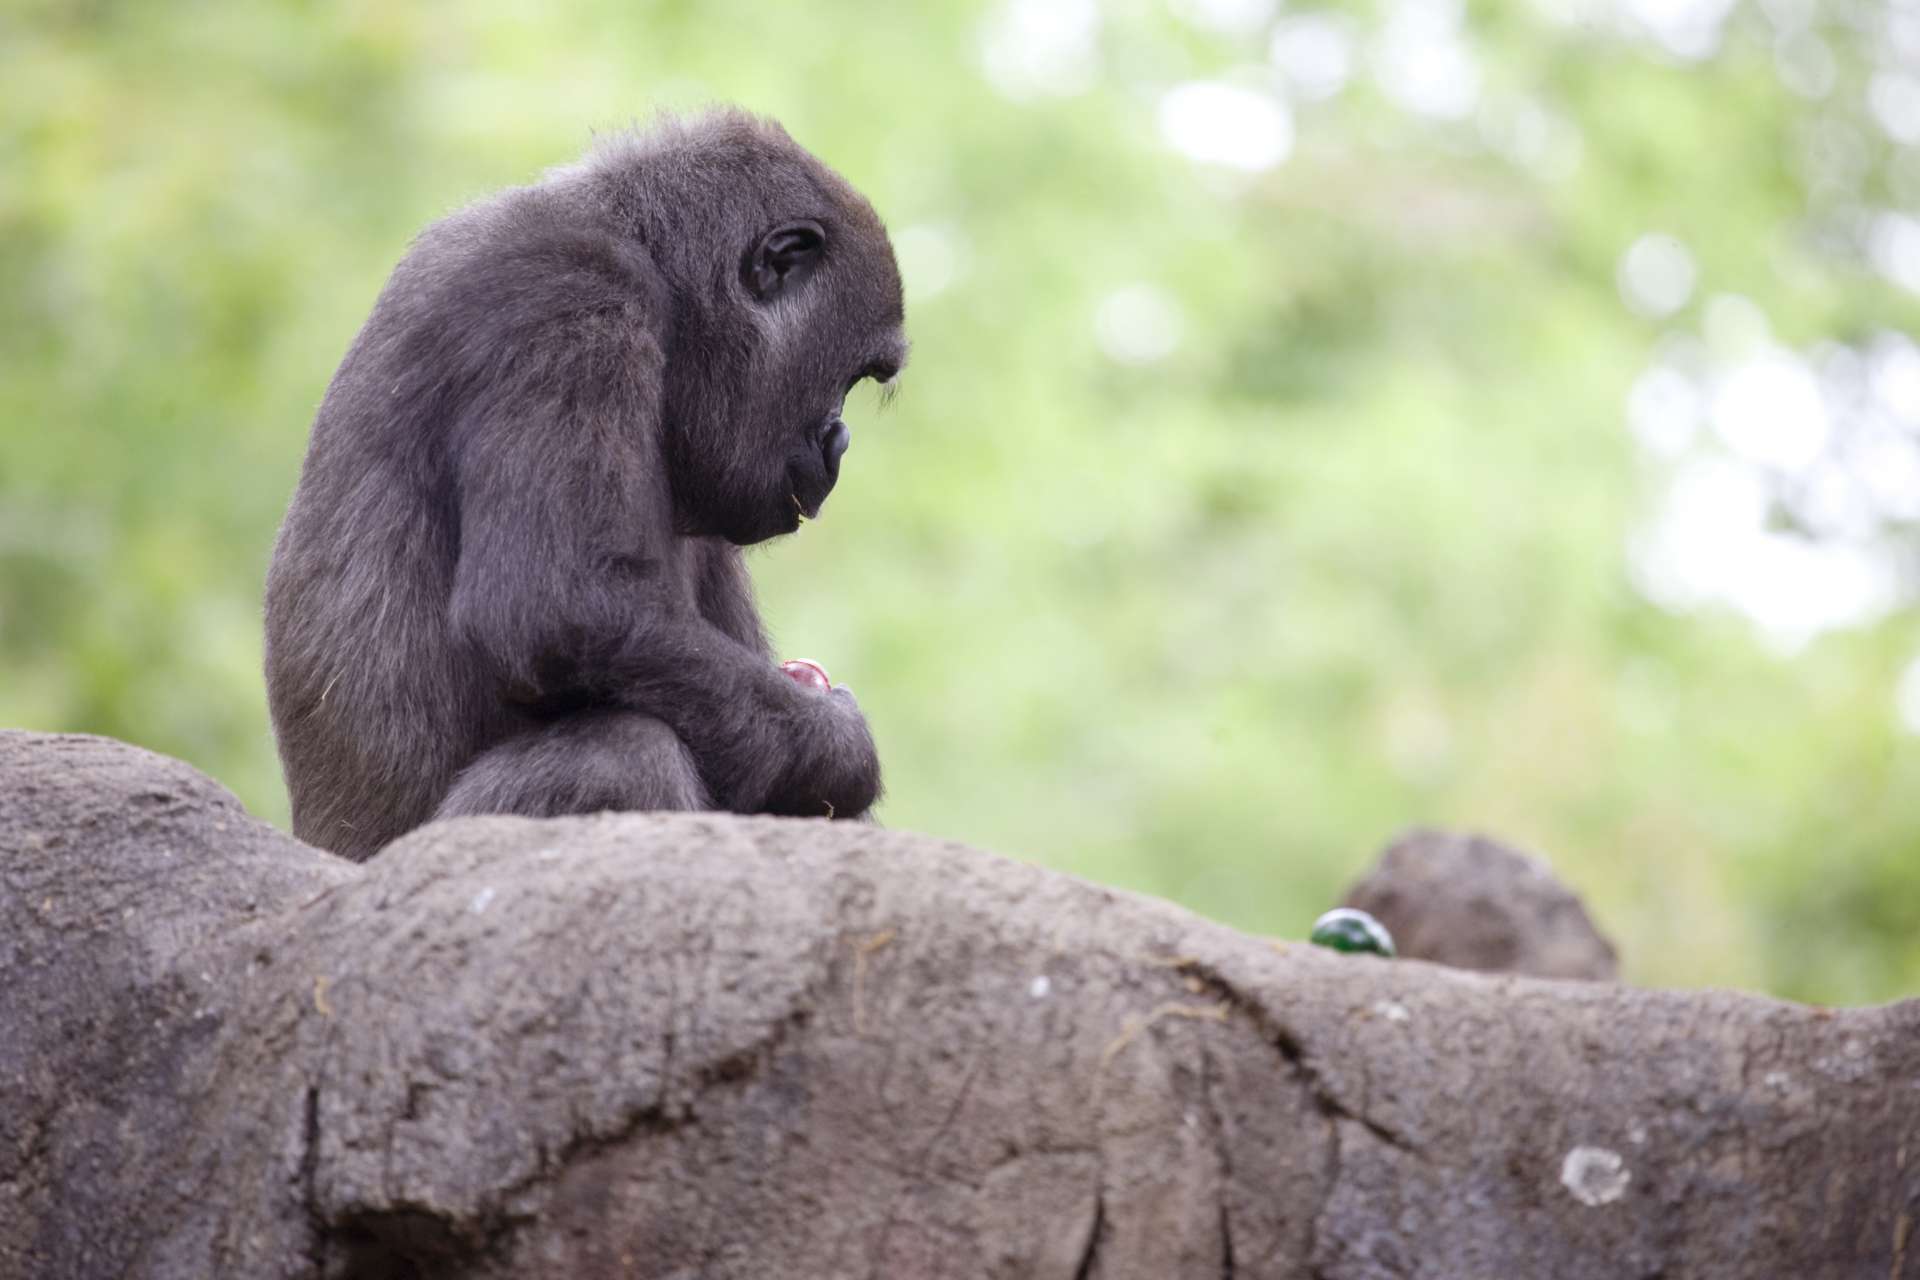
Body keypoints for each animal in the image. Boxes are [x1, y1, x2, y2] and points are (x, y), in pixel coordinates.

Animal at [264, 110, 906, 860]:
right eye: (851, 376)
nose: (838, 445)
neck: (657, 270)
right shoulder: (570, 298)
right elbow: (557, 604)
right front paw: (844, 746)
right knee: (621, 756)